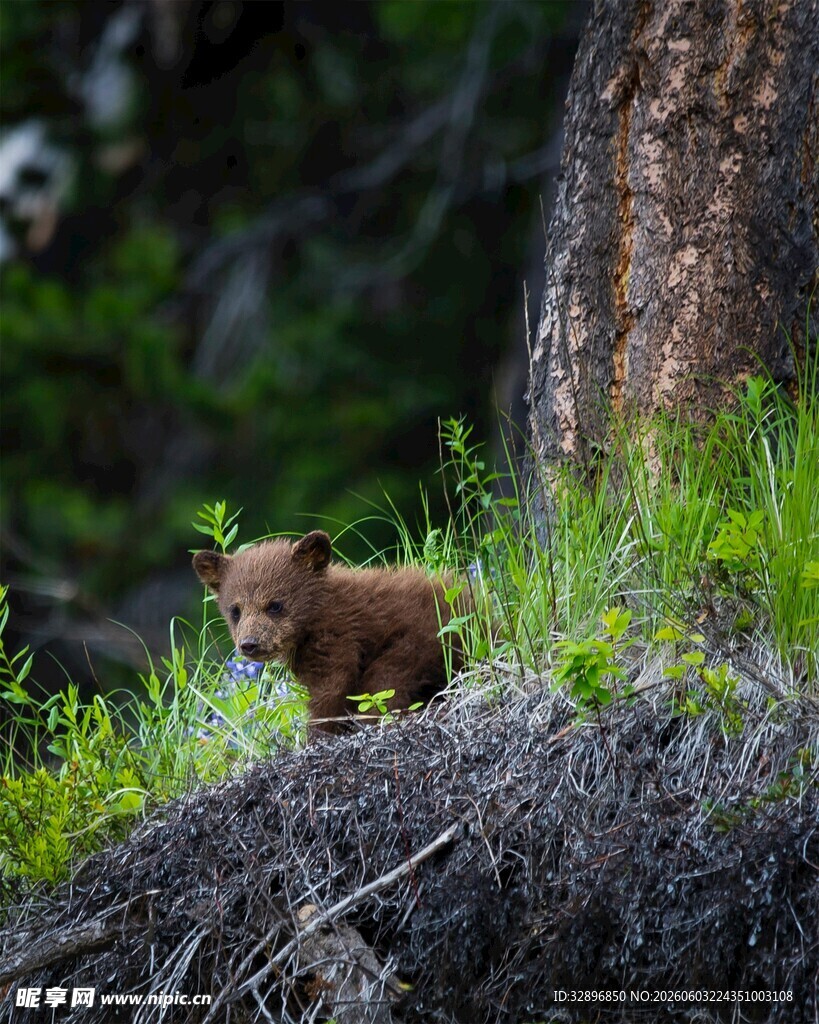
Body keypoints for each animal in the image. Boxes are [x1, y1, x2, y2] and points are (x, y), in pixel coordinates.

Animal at [192, 531, 462, 734]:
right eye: (235, 610)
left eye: (275, 605)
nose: (250, 644)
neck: (315, 615)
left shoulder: (337, 636)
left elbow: (331, 689)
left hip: (417, 643)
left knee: (384, 685)